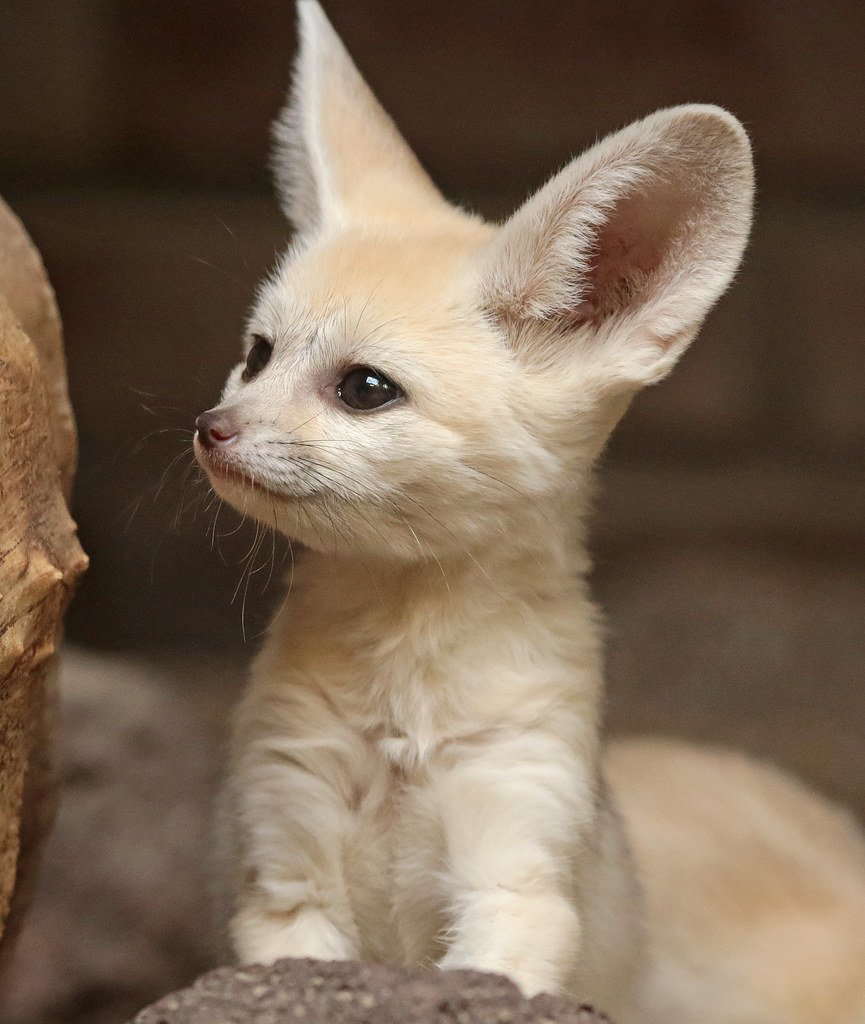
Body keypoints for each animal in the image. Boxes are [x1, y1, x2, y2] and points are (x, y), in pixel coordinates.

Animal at [194, 3, 865, 1021]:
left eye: (364, 388)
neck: (402, 691)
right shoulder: (286, 866)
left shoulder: (516, 863)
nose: (211, 429)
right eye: (257, 354)